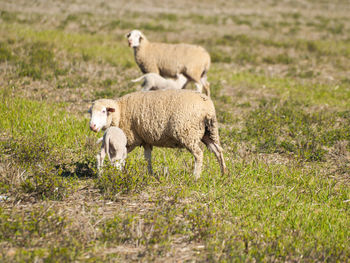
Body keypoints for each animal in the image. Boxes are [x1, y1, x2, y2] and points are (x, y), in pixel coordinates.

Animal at [89, 89, 227, 179]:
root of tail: (207, 106)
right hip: (209, 132)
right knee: (218, 151)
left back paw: (195, 177)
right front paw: (151, 174)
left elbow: (122, 158)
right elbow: (147, 158)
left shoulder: (131, 140)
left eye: (103, 111)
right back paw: (223, 173)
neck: (120, 111)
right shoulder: (145, 140)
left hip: (187, 132)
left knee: (199, 154)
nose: (92, 126)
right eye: (90, 112)